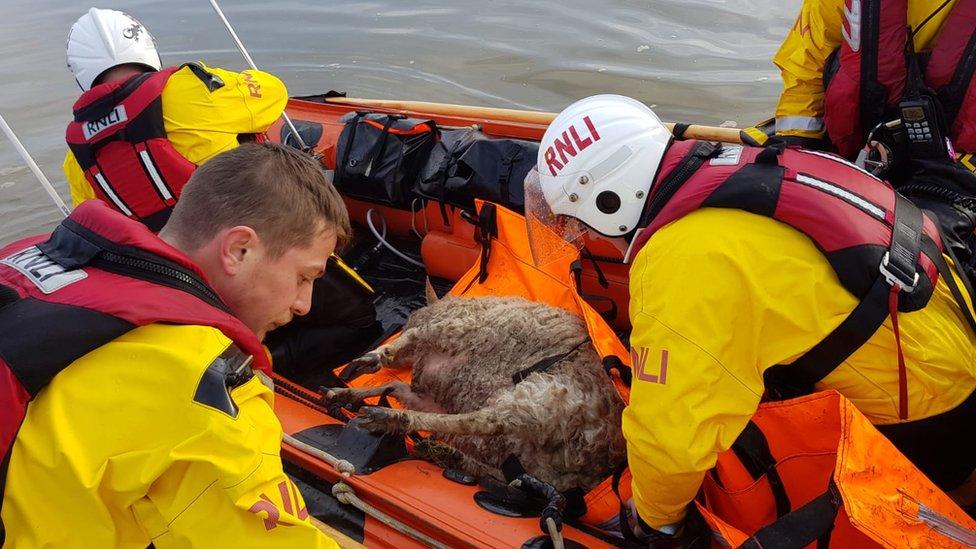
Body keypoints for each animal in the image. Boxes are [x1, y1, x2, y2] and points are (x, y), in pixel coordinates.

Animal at [322, 292, 624, 492]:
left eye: (408, 320)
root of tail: (599, 455)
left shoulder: (453, 327)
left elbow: (399, 347)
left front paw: (372, 360)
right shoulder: (429, 397)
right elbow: (394, 386)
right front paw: (344, 394)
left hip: (543, 397)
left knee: (485, 422)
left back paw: (392, 420)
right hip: (539, 460)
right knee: (515, 476)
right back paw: (446, 452)